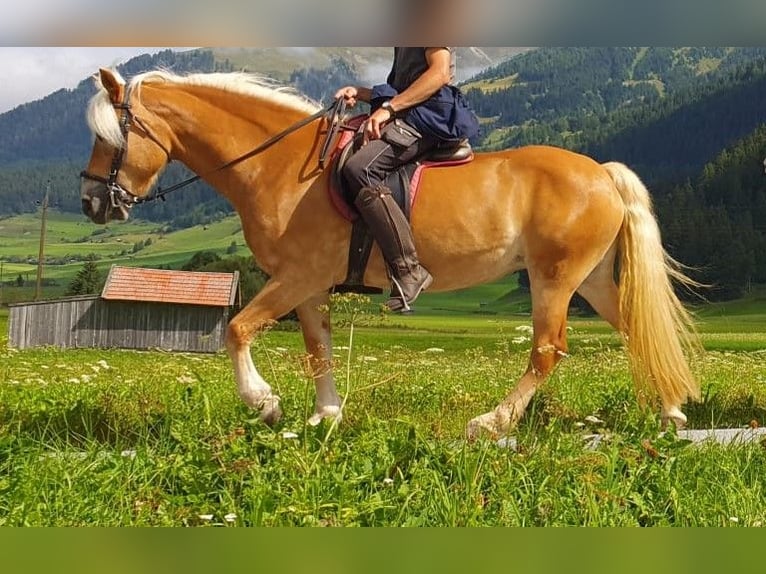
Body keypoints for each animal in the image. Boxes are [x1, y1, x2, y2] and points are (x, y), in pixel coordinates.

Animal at [79, 70, 704, 444]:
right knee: (635, 330)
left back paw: (491, 421)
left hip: (554, 278)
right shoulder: (307, 284)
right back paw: (670, 410)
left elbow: (237, 329)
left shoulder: (297, 275)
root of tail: (601, 172)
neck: (276, 165)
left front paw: (265, 403)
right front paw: (325, 416)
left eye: (110, 137)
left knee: (548, 350)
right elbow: (318, 349)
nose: (91, 202)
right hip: (591, 279)